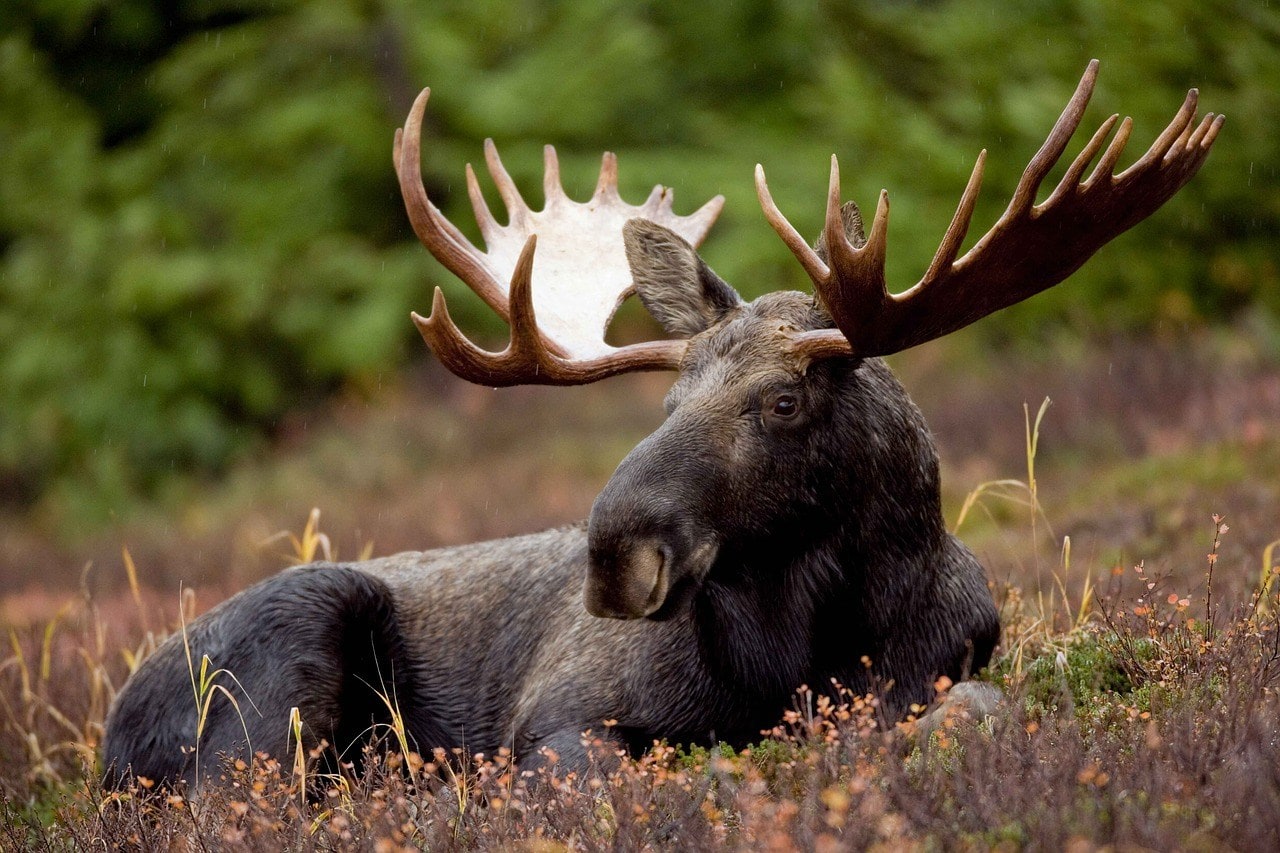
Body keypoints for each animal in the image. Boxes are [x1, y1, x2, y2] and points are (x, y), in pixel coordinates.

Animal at [102, 61, 1220, 788]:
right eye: (668, 401)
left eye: (782, 400)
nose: (614, 554)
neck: (801, 652)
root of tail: (112, 727)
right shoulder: (560, 720)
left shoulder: (950, 669)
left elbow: (973, 714)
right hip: (276, 681)